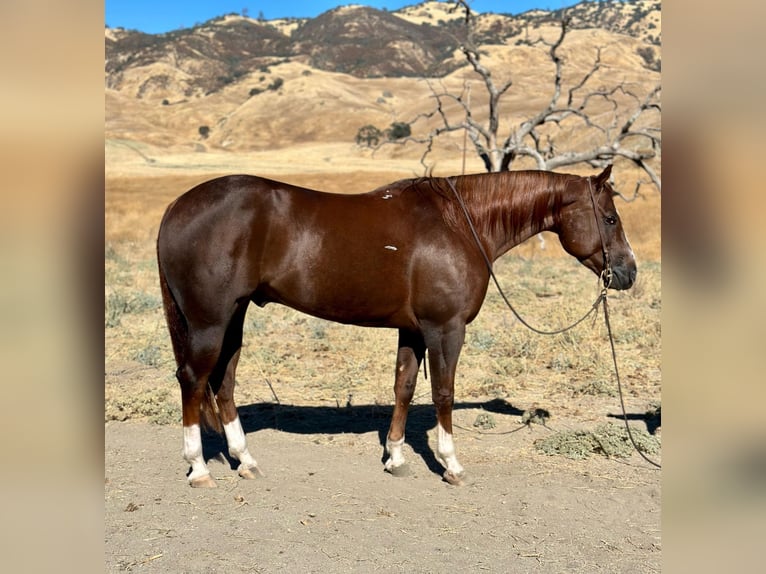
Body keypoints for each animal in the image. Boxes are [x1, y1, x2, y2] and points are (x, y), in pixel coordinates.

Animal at [156, 164, 636, 488]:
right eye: (610, 218)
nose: (628, 273)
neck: (460, 223)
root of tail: (177, 206)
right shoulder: (445, 328)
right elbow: (443, 392)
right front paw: (451, 465)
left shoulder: (414, 330)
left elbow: (403, 387)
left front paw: (395, 457)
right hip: (209, 321)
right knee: (193, 380)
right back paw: (198, 468)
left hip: (233, 316)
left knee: (223, 383)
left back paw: (246, 460)